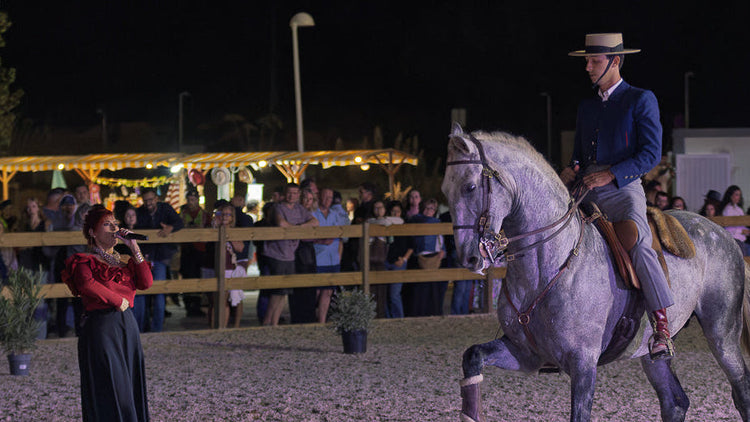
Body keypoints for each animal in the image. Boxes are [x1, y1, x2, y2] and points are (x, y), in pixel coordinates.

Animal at [441, 124, 750, 422]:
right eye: (445, 191)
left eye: (470, 187)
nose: (470, 257)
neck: (546, 268)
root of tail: (723, 233)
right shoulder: (525, 352)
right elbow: (473, 356)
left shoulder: (583, 363)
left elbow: (580, 413)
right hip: (651, 353)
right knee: (674, 402)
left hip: (722, 334)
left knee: (741, 391)